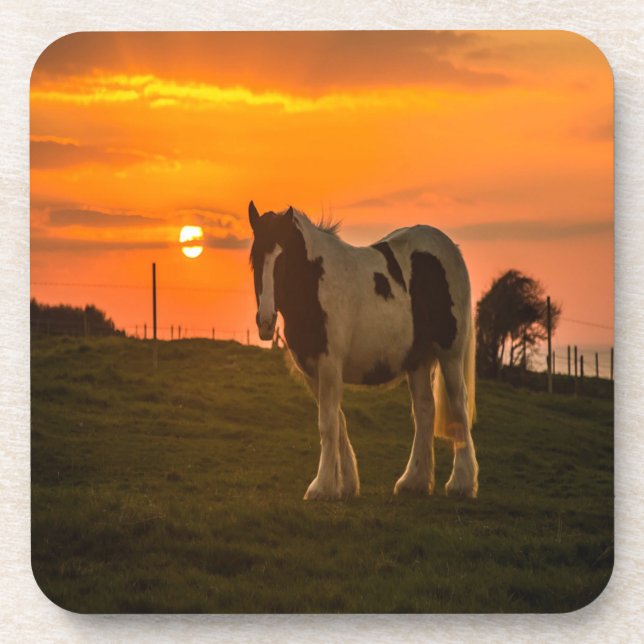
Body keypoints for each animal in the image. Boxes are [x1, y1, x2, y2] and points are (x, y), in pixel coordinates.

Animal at [248, 201, 479, 500]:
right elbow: (338, 422)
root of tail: (450, 248)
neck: (315, 285)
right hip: (416, 361)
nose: (265, 322)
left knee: (458, 406)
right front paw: (344, 484)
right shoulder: (313, 372)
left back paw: (461, 483)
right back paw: (413, 481)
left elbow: (328, 423)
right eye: (254, 258)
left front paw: (321, 487)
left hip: (450, 355)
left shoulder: (329, 365)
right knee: (425, 410)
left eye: (283, 259)